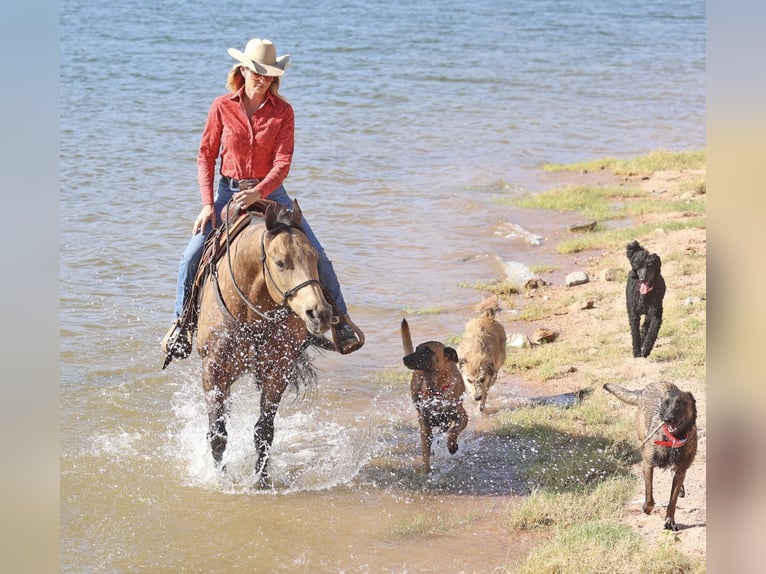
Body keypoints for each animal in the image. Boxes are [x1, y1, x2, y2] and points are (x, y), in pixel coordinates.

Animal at [192, 200, 332, 488]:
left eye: (315, 257)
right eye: (280, 262)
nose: (320, 314)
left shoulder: (278, 370)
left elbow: (264, 430)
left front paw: (262, 480)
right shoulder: (212, 371)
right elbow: (217, 434)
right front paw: (220, 479)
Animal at [402, 318, 468, 474]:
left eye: (427, 350)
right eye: (416, 348)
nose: (405, 358)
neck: (436, 391)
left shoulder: (462, 416)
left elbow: (454, 431)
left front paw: (452, 445)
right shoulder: (425, 425)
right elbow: (425, 452)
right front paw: (426, 470)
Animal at [608, 382, 700, 532]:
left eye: (680, 404)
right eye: (665, 404)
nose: (667, 419)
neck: (673, 439)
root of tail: (647, 387)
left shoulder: (681, 470)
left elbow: (672, 501)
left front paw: (670, 521)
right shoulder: (648, 464)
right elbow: (649, 494)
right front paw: (647, 508)